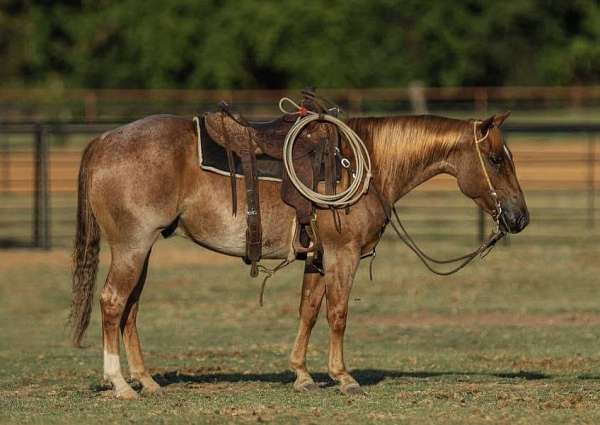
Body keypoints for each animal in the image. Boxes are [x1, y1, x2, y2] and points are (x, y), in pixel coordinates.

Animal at [70, 110, 528, 398]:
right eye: (494, 159)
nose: (520, 217)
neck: (368, 165)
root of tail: (103, 141)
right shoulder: (342, 254)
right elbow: (338, 312)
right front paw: (343, 377)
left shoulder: (317, 257)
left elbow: (308, 310)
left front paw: (303, 374)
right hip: (132, 247)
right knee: (113, 303)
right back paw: (120, 384)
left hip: (142, 249)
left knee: (130, 310)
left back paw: (147, 382)